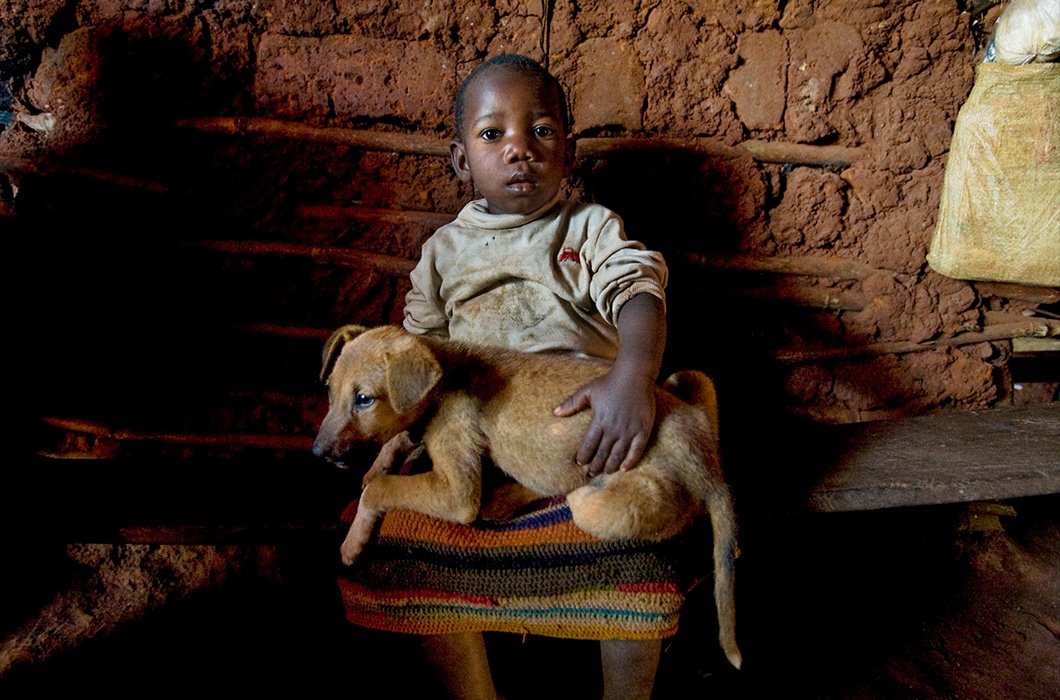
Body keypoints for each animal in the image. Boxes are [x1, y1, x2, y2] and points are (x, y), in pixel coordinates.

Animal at [313, 324, 741, 670]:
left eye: (365, 399)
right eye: (330, 391)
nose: (317, 453)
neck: (444, 378)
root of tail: (707, 462)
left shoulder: (457, 490)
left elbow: (383, 488)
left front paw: (352, 542)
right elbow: (394, 446)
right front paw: (377, 465)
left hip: (607, 504)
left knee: (654, 511)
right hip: (690, 379)